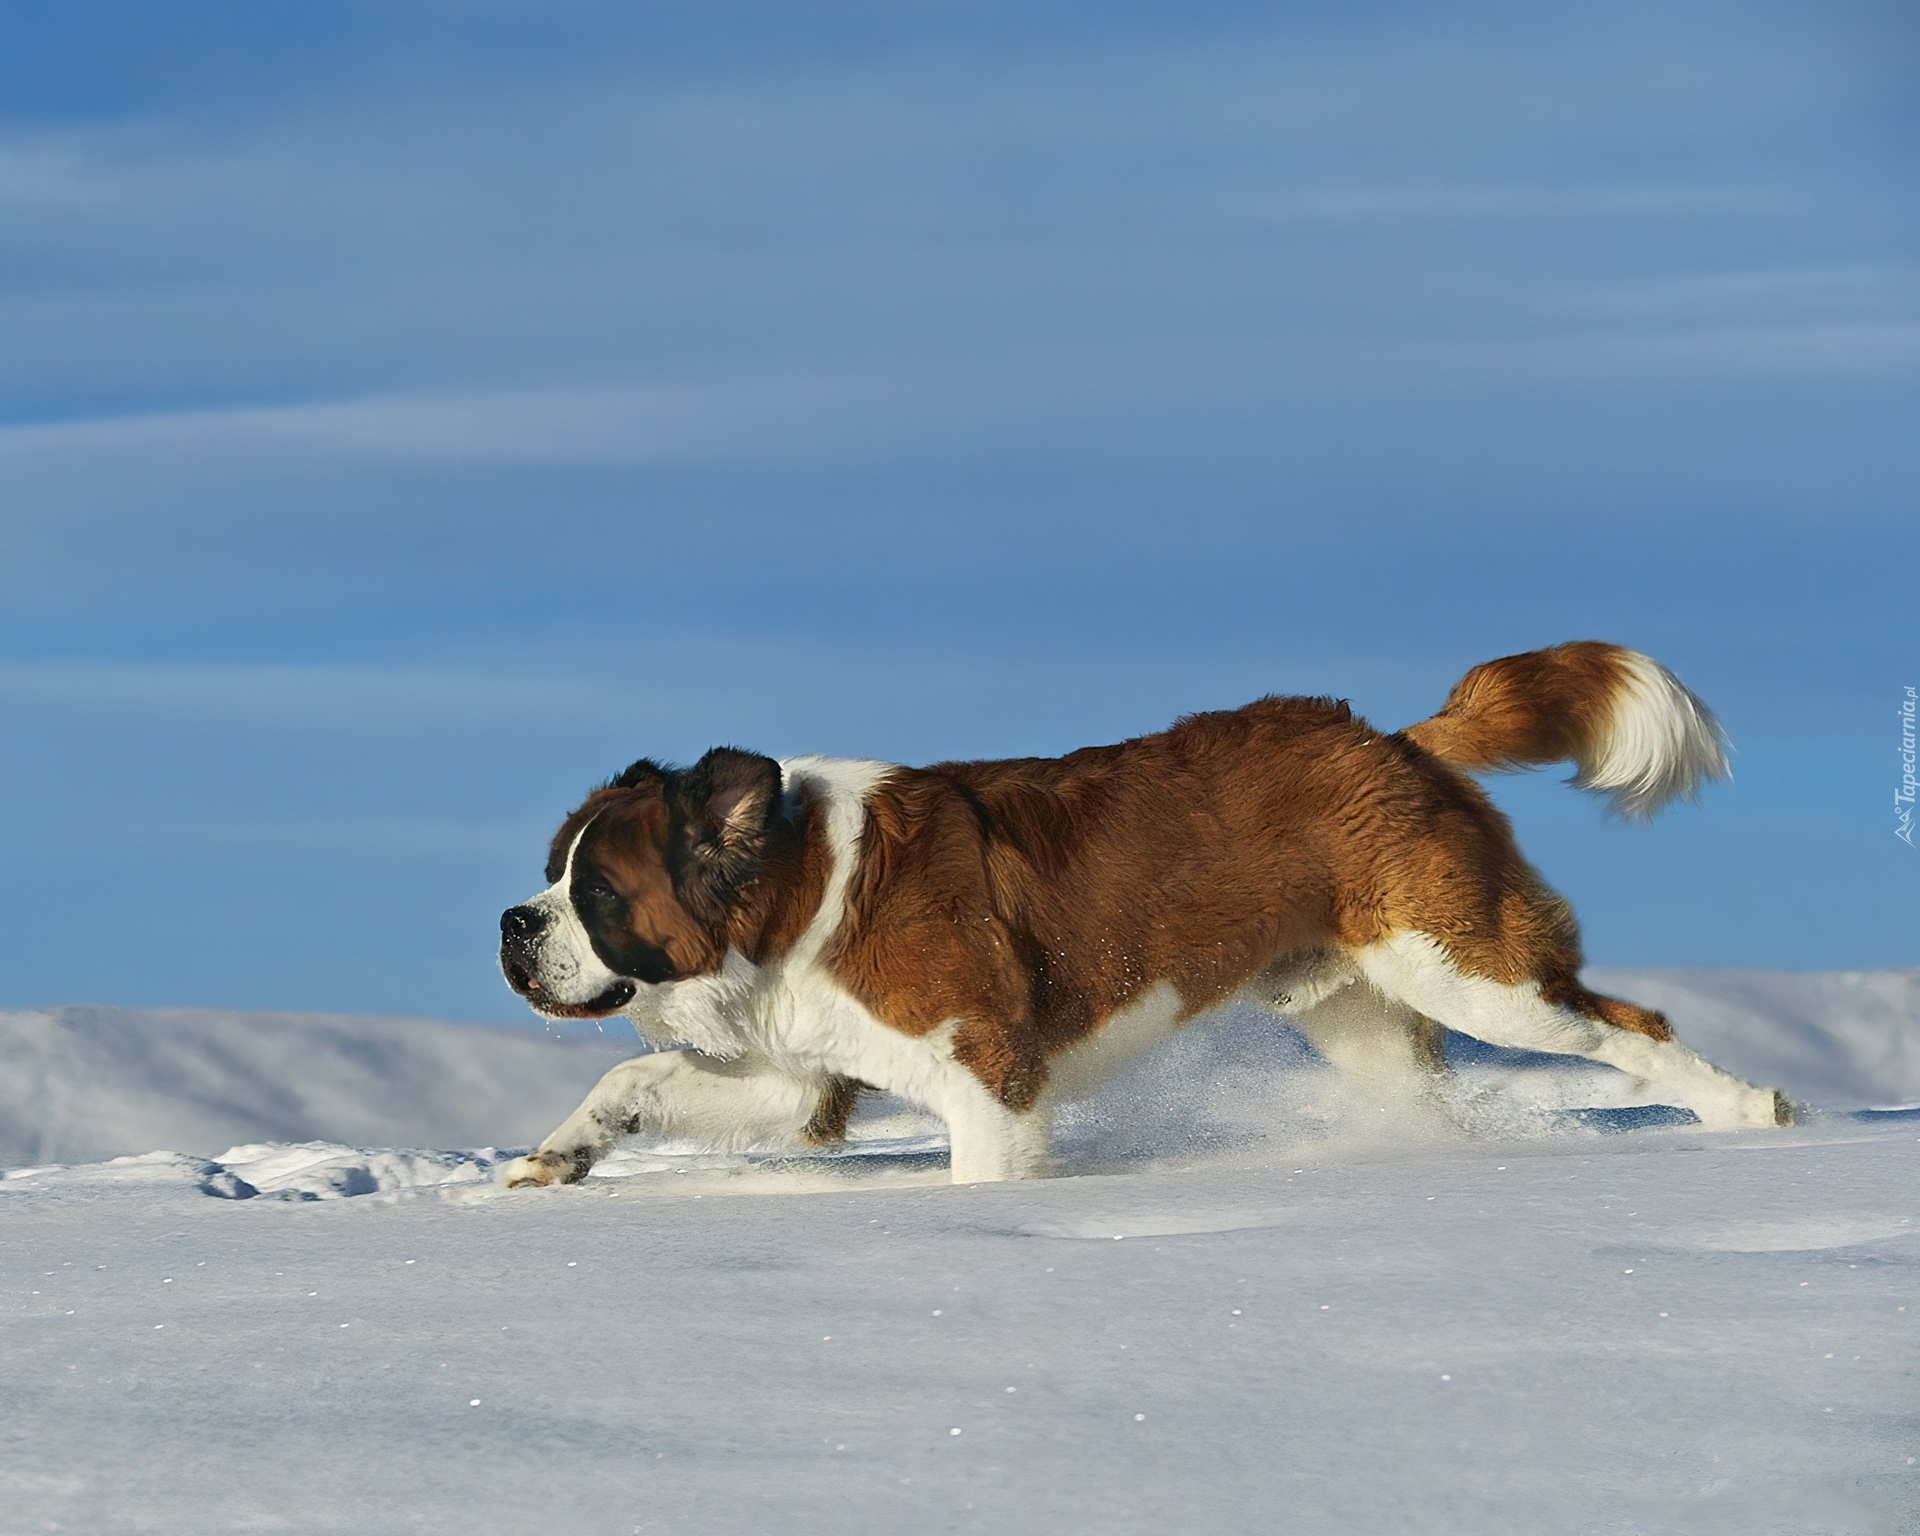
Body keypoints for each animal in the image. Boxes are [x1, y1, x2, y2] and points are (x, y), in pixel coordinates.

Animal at [499, 637, 1781, 1190]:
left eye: (596, 892)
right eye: (551, 874)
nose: (514, 924)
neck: (794, 891)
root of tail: (1390, 739)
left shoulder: (989, 1076)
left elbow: (983, 1171)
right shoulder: (804, 1076)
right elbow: (636, 1078)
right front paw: (560, 1156)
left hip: (1470, 968)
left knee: (1633, 1029)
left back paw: (1755, 1114)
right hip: (1362, 1016)